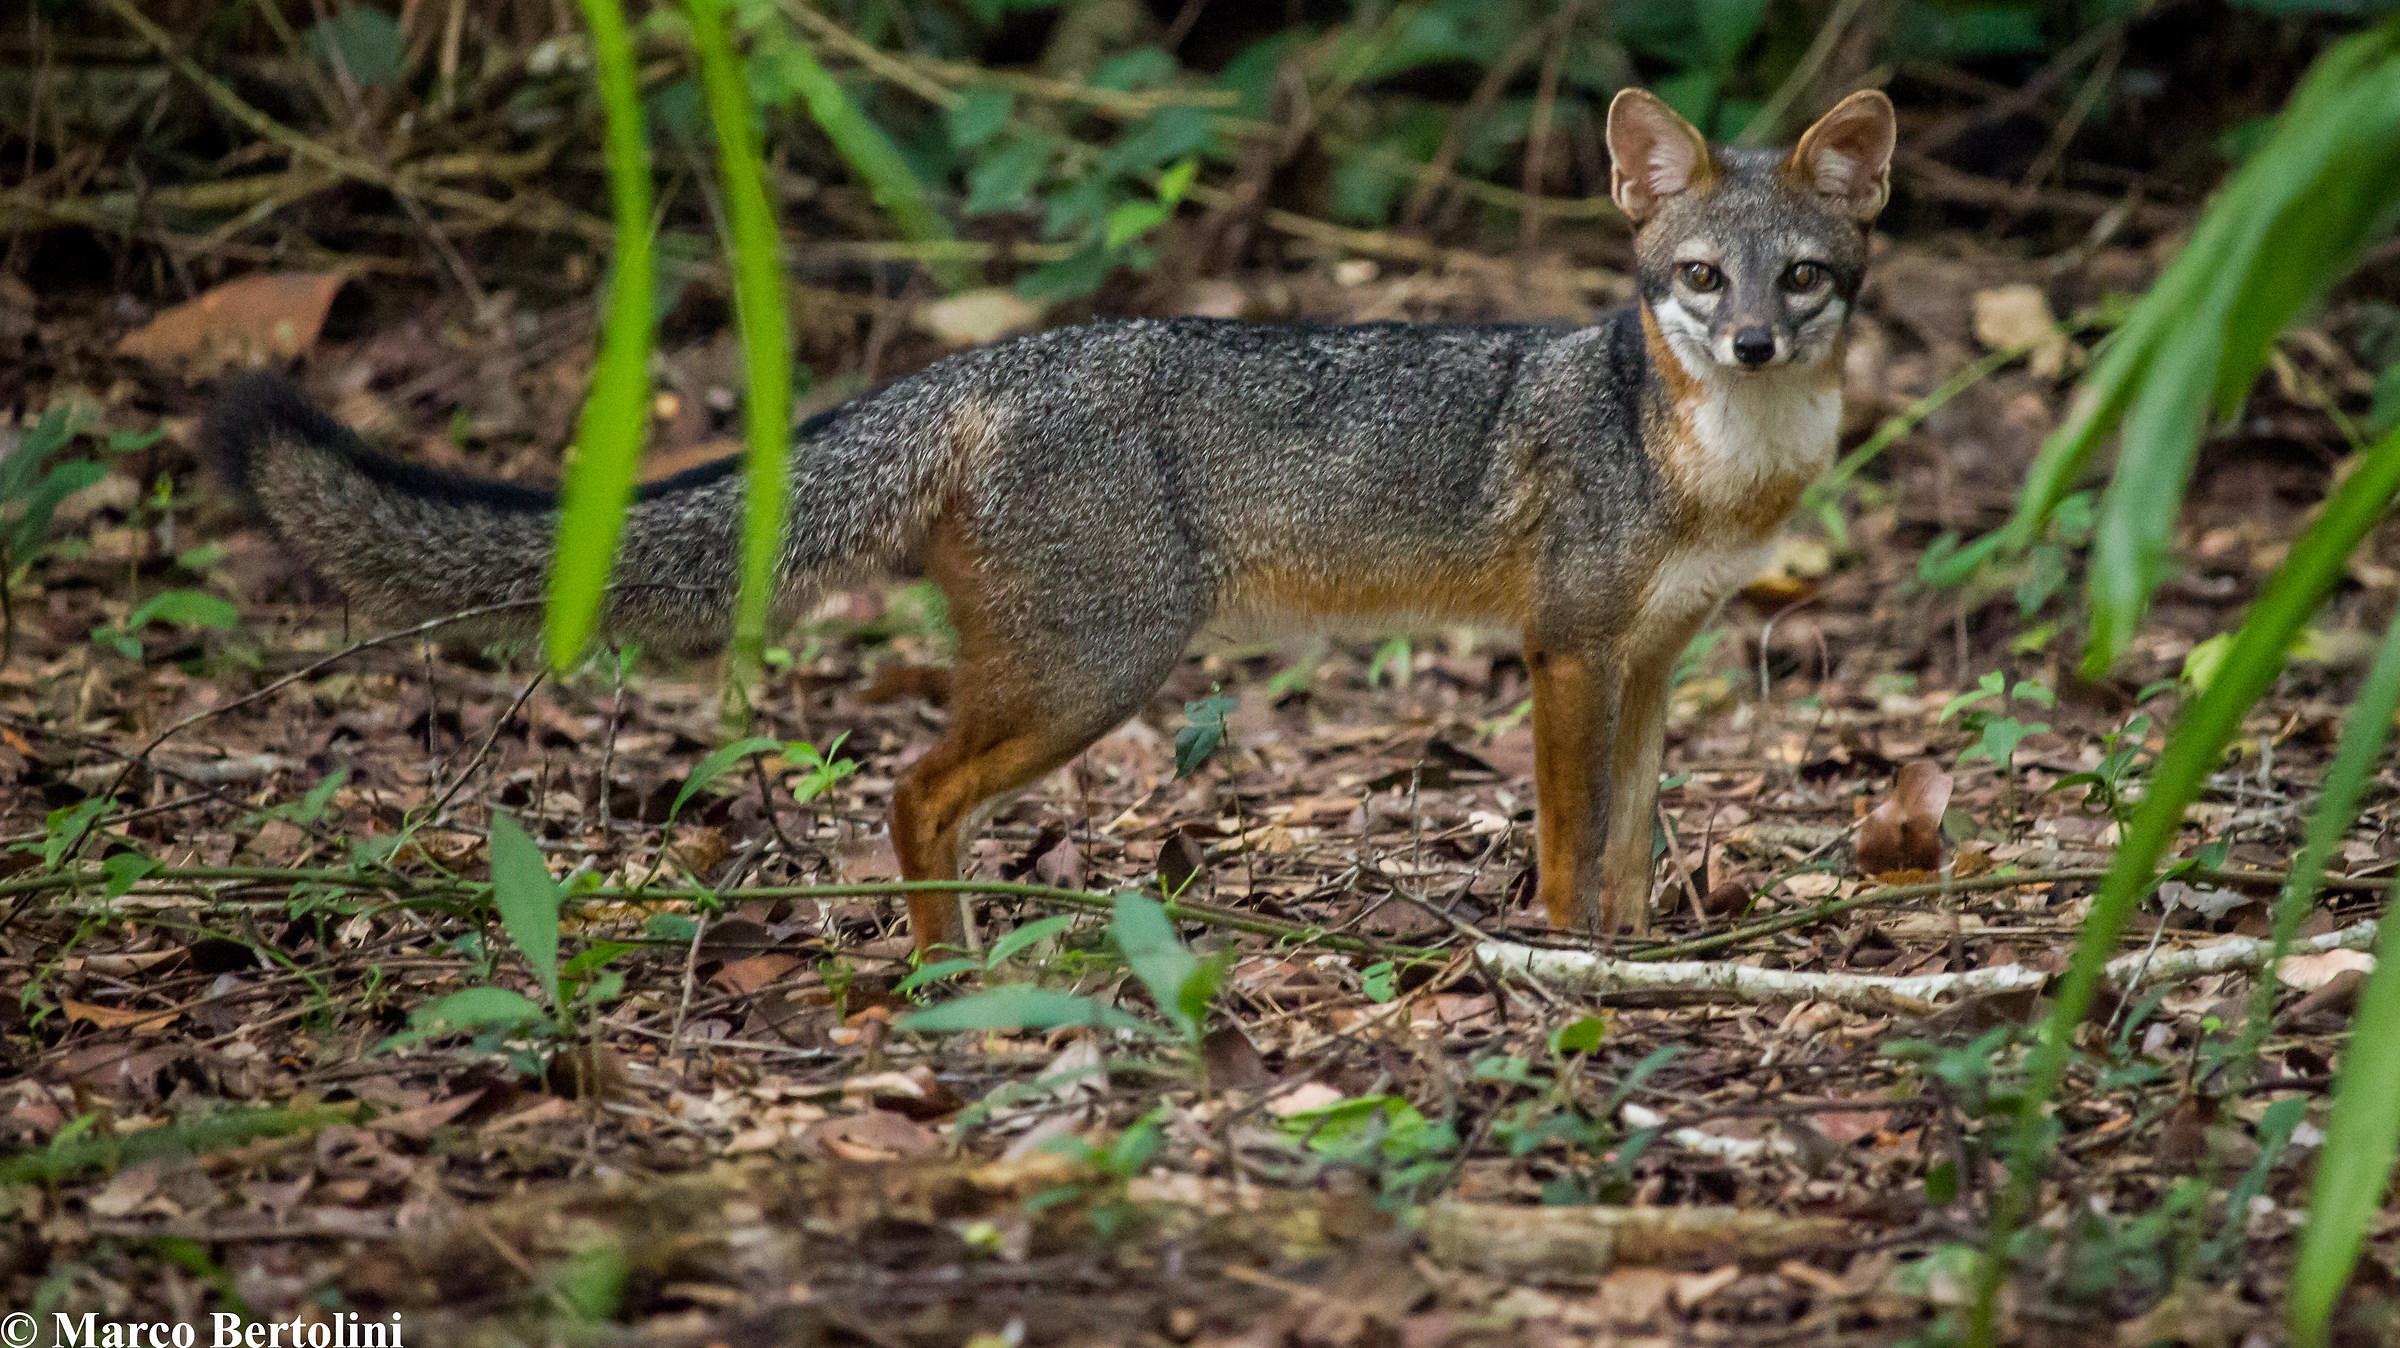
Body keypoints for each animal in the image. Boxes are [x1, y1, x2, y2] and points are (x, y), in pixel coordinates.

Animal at [205, 88, 1895, 956]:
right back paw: (942, 976)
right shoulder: (1561, 650)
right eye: (1699, 280)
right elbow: (1565, 838)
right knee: (910, 792)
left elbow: (1632, 836)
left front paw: (1649, 954)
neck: (1718, 459)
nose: (1754, 342)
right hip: (1101, 669)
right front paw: (1560, 960)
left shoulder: (1654, 657)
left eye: (1802, 278)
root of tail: (984, 360)